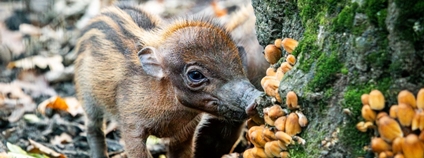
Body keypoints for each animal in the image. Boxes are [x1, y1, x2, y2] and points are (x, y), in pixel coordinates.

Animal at [74, 4, 264, 157]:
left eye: (239, 64)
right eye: (195, 75)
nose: (255, 99)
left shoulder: (187, 131)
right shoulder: (131, 128)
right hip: (87, 98)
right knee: (93, 128)